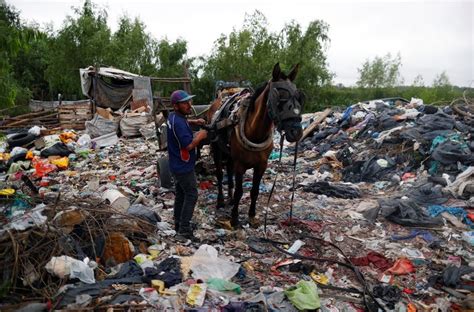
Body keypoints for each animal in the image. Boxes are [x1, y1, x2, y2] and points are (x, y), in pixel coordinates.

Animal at [207, 63, 304, 228]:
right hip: (216, 149)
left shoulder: (261, 166)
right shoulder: (240, 165)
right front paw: (234, 218)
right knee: (220, 175)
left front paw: (251, 216)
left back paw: (230, 199)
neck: (254, 132)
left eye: (299, 97)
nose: (296, 132)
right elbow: (240, 191)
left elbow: (255, 191)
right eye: (280, 97)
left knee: (229, 171)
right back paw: (221, 201)